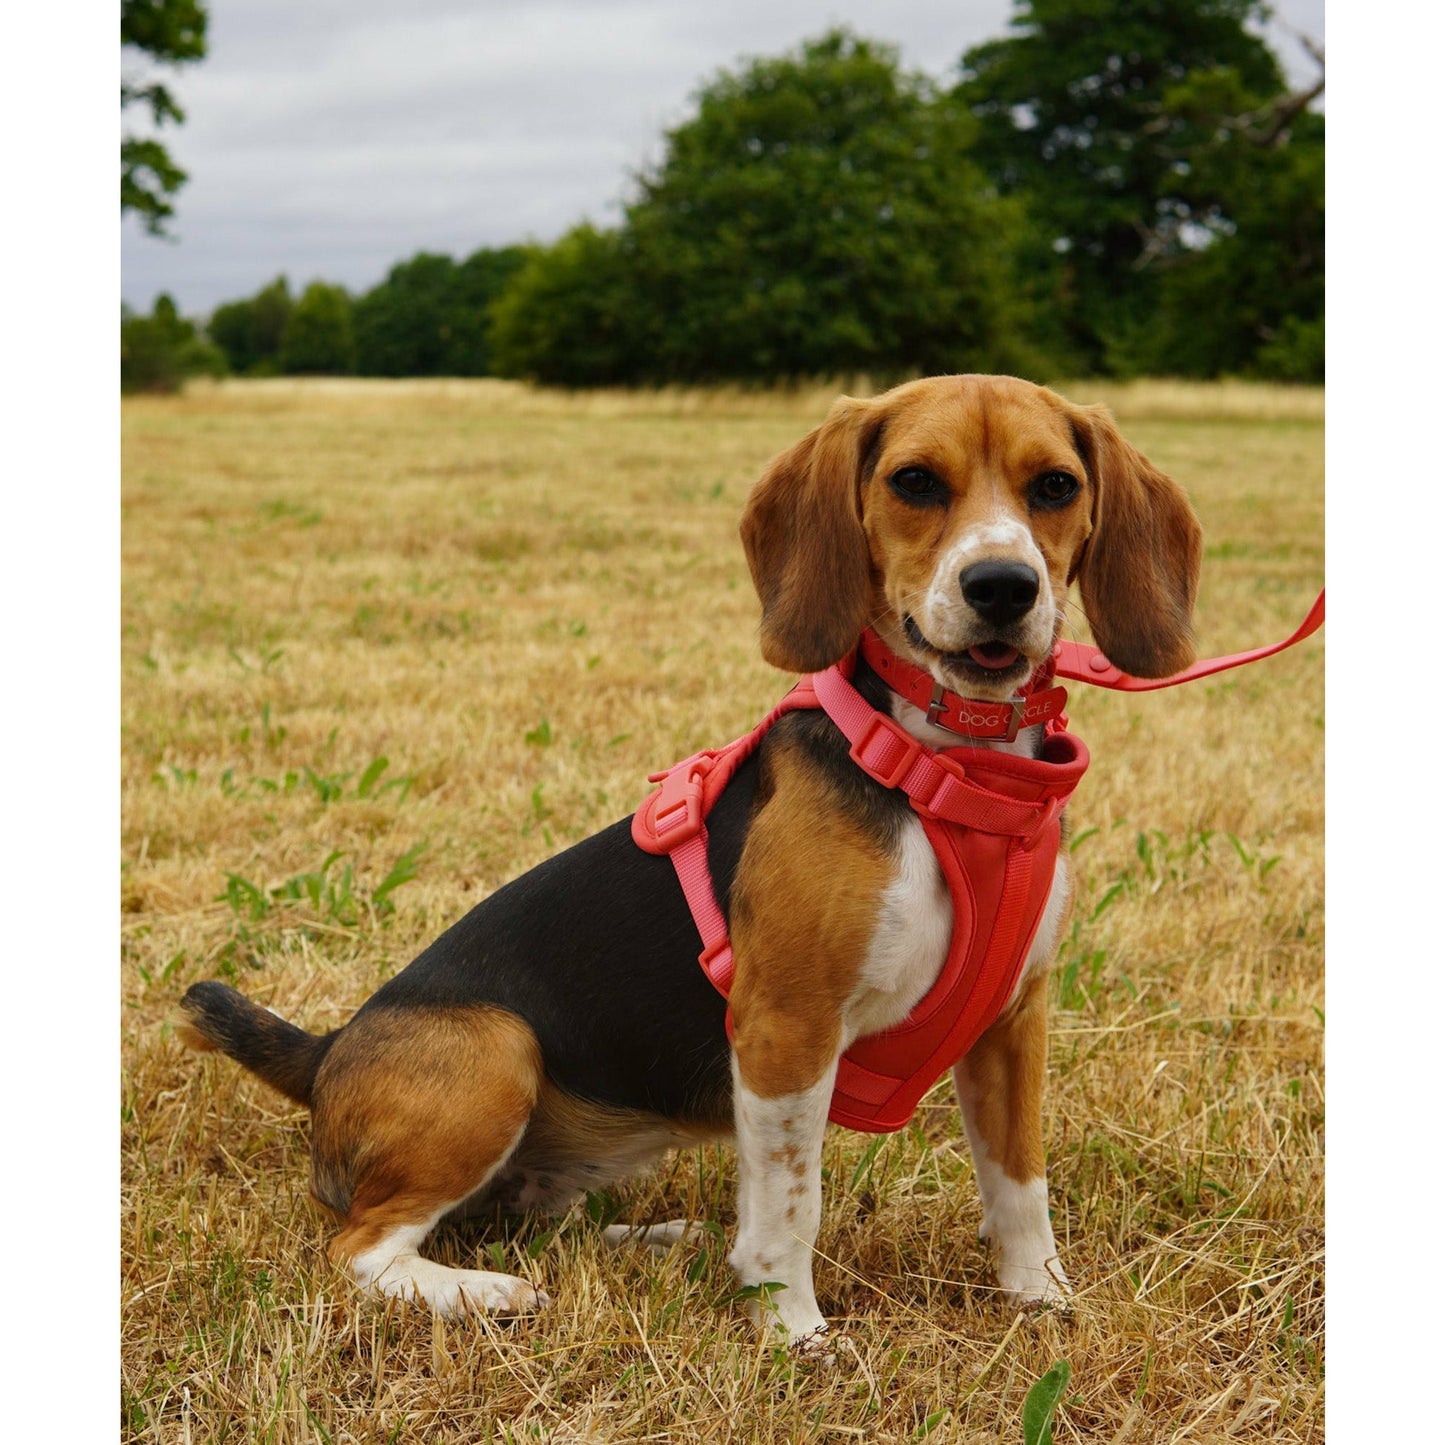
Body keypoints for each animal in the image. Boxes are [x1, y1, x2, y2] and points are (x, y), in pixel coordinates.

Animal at [177, 375, 1196, 1352]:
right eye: (913, 481)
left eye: (1055, 486)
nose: (1002, 586)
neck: (948, 763)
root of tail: (326, 1051)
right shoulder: (787, 1027)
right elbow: (790, 1204)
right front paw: (793, 1333)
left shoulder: (1012, 1020)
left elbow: (1020, 1182)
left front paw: (1042, 1299)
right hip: (496, 1050)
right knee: (362, 1246)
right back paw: (480, 1294)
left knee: (532, 1217)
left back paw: (657, 1239)